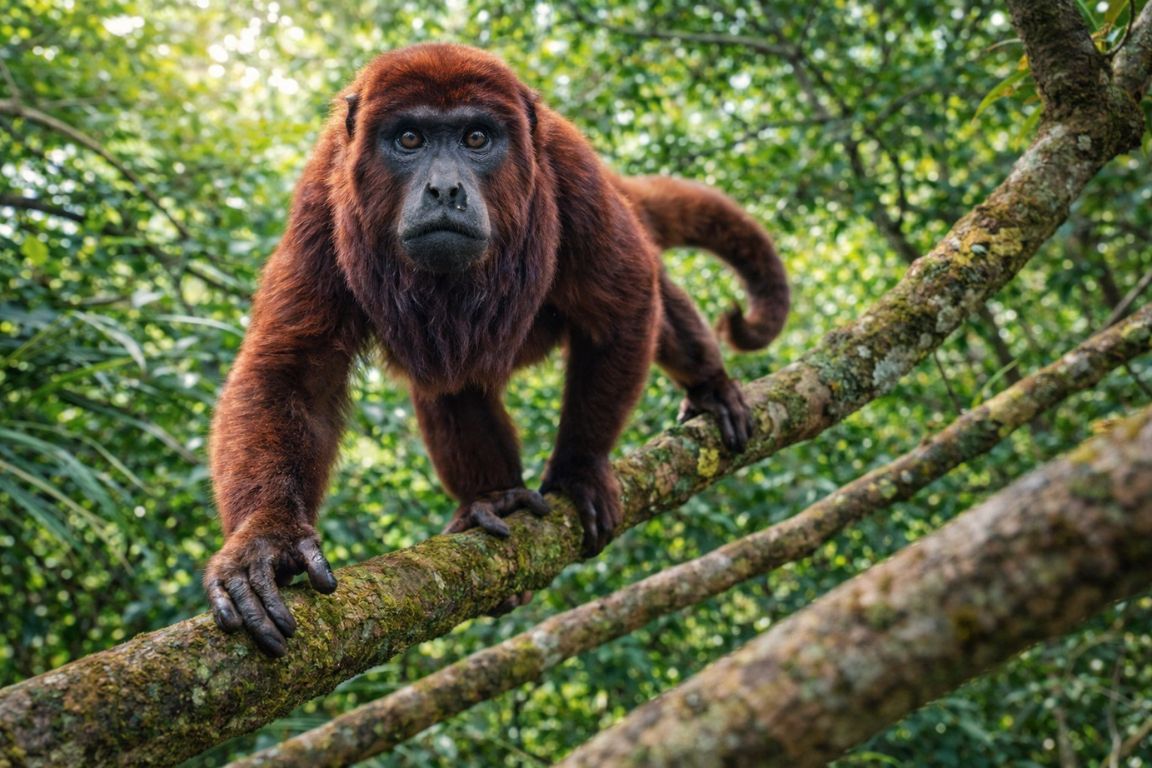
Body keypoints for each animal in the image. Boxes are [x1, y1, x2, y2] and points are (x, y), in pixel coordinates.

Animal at [204, 43, 789, 657]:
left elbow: (623, 306)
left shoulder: (570, 169)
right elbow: (292, 369)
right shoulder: (321, 197)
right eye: (408, 139)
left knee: (656, 295)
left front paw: (579, 469)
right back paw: (495, 496)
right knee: (449, 385)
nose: (444, 190)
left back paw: (710, 387)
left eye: (477, 138)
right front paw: (265, 541)